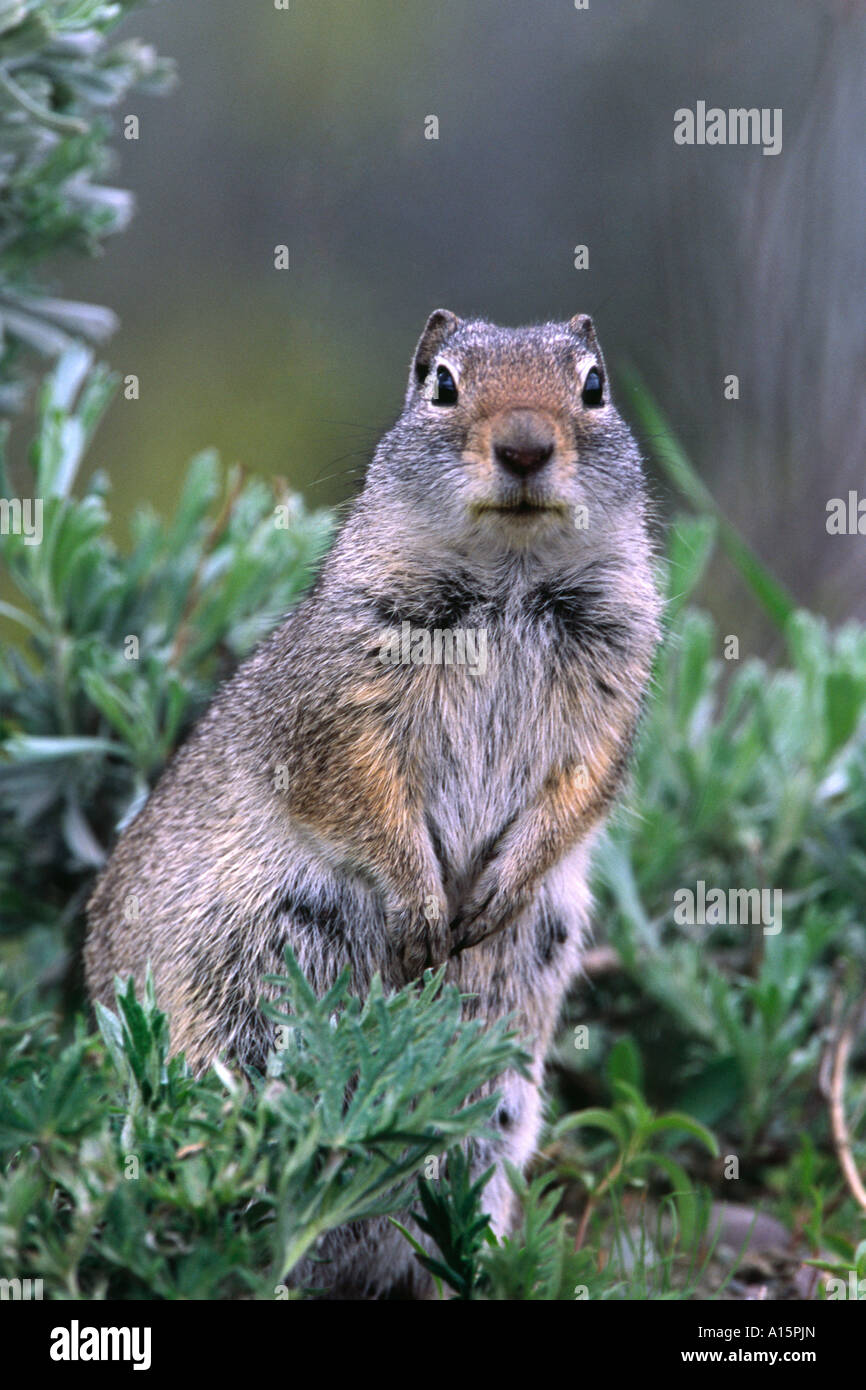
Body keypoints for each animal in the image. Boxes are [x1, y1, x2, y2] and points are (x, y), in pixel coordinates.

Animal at [83, 309, 664, 1295]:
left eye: (593, 386)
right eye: (441, 383)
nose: (524, 446)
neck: (511, 577)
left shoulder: (613, 697)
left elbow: (579, 792)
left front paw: (495, 893)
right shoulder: (344, 704)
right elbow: (360, 793)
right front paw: (427, 910)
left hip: (492, 1120)